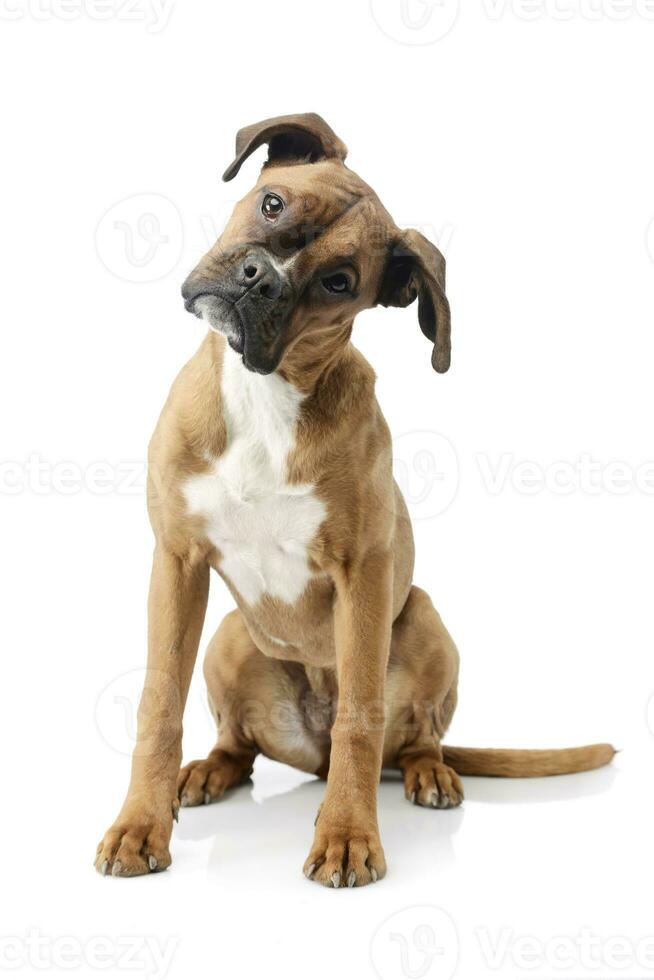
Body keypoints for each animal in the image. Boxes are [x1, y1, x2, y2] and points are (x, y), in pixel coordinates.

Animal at [95, 111, 616, 884]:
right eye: (272, 203)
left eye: (339, 282)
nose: (258, 278)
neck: (268, 393)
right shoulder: (177, 562)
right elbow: (158, 705)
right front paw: (139, 827)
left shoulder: (363, 574)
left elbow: (360, 722)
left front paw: (345, 834)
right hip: (229, 636)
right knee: (239, 745)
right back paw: (209, 771)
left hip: (423, 618)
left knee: (410, 738)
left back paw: (429, 774)